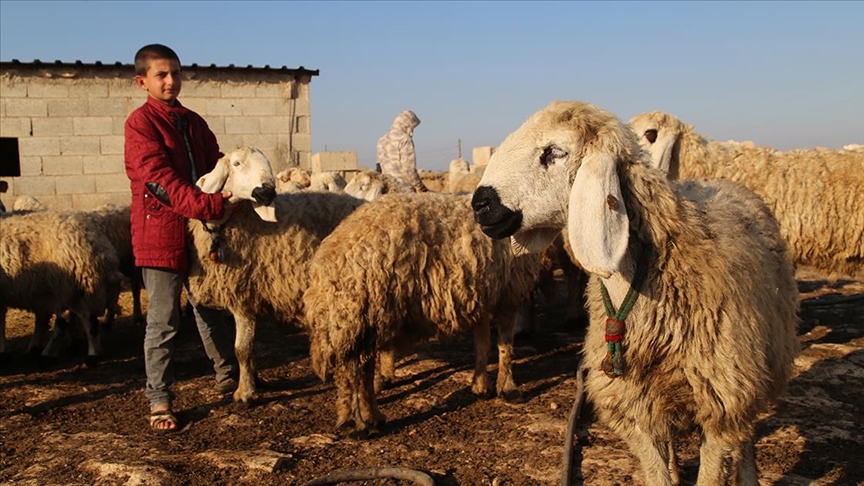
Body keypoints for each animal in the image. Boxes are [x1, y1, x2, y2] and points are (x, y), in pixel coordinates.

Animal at [189, 146, 364, 404]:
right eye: (236, 163)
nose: (266, 191)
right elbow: (249, 350)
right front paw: (255, 382)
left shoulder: (242, 297)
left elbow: (241, 349)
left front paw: (244, 393)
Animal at [304, 192, 540, 434]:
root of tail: (327, 263)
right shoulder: (509, 292)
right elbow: (505, 346)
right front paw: (509, 388)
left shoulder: (481, 295)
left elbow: (482, 345)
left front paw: (480, 386)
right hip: (365, 310)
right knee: (352, 371)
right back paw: (356, 422)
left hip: (363, 318)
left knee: (362, 370)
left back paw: (369, 417)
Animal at [470, 100, 800, 484]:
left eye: (554, 152)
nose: (480, 203)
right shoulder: (633, 403)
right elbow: (657, 472)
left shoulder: (720, 396)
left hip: (758, 365)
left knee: (745, 435)